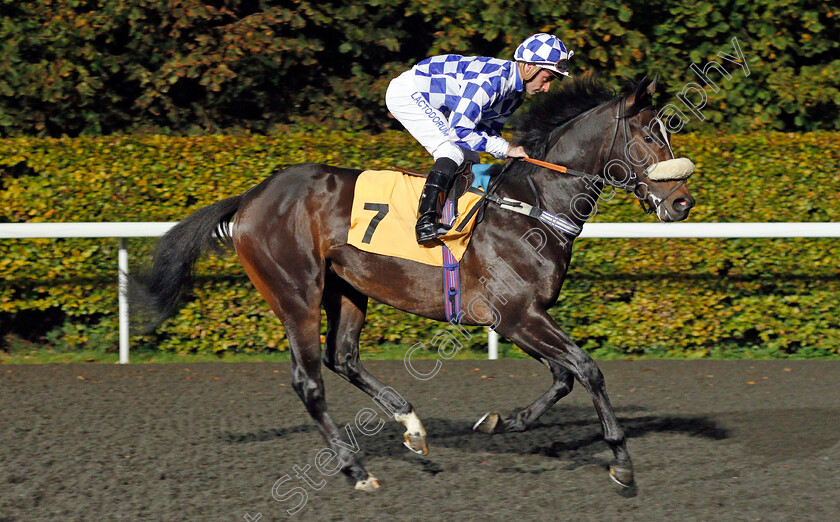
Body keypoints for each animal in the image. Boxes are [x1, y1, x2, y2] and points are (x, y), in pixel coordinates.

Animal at [133, 75, 696, 490]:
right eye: (651, 136)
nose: (683, 202)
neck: (533, 203)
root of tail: (251, 197)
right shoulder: (517, 315)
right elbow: (587, 369)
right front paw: (621, 461)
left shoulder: (518, 317)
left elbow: (563, 376)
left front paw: (503, 422)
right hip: (295, 293)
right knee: (309, 381)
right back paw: (356, 469)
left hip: (347, 288)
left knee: (343, 357)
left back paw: (412, 427)